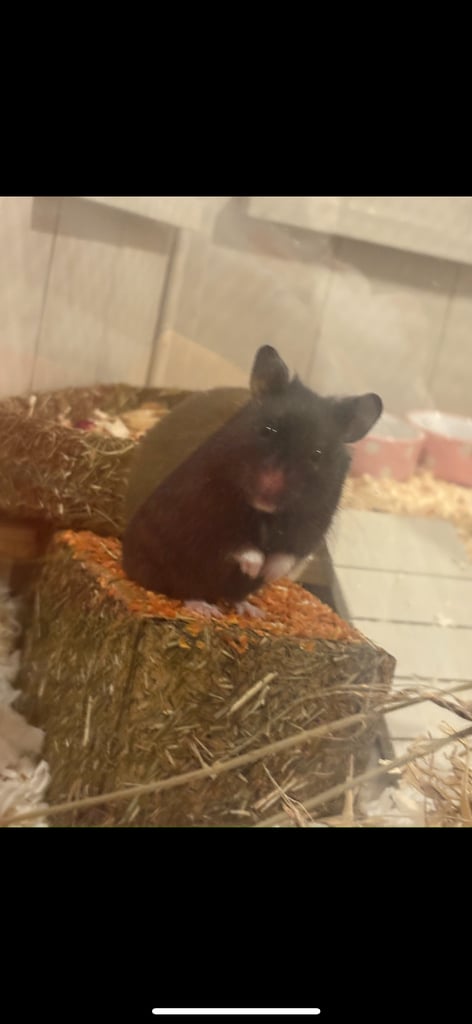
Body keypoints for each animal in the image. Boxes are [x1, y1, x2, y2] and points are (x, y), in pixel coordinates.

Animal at [122, 345, 382, 614]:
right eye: (267, 430)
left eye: (317, 454)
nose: (267, 490)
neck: (264, 514)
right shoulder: (209, 515)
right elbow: (239, 546)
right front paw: (256, 567)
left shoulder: (312, 525)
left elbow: (286, 555)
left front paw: (268, 573)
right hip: (170, 565)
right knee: (183, 588)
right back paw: (205, 608)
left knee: (232, 594)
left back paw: (251, 610)